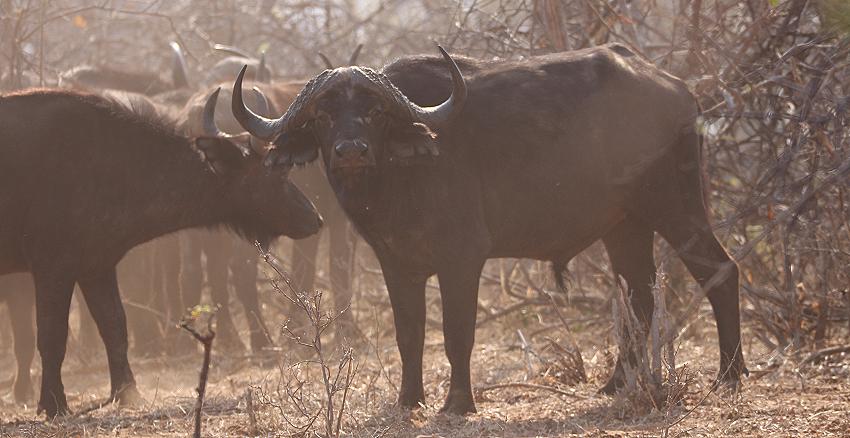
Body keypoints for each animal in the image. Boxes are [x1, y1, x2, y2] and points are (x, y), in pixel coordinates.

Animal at [0, 89, 322, 418]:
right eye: (277, 172)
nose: (315, 218)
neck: (114, 164)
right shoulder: (52, 267)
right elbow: (52, 336)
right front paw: (53, 403)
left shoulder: (97, 267)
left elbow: (115, 327)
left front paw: (128, 393)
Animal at [232, 46, 744, 416]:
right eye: (322, 116)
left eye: (374, 112)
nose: (351, 150)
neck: (400, 178)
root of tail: (680, 90)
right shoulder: (396, 264)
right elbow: (409, 334)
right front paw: (409, 400)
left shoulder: (462, 258)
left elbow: (456, 333)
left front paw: (458, 404)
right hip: (624, 226)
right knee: (638, 296)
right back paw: (615, 384)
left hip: (677, 205)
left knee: (721, 271)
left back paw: (730, 375)